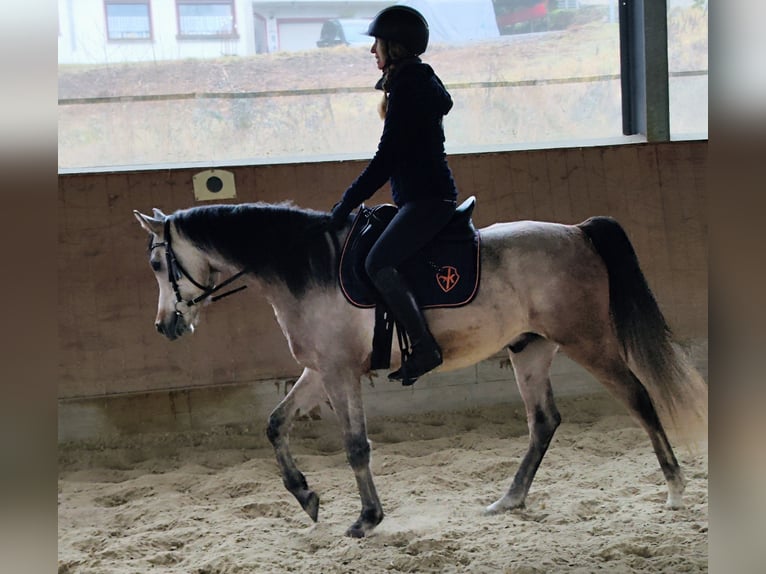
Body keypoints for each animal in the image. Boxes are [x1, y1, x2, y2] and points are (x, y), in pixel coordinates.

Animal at [133, 201, 707, 538]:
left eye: (159, 264)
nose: (165, 325)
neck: (306, 268)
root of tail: (576, 232)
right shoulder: (320, 370)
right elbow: (275, 424)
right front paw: (306, 497)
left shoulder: (339, 373)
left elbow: (356, 446)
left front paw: (367, 518)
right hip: (530, 350)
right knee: (544, 421)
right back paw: (509, 499)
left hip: (588, 341)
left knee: (639, 399)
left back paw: (676, 490)